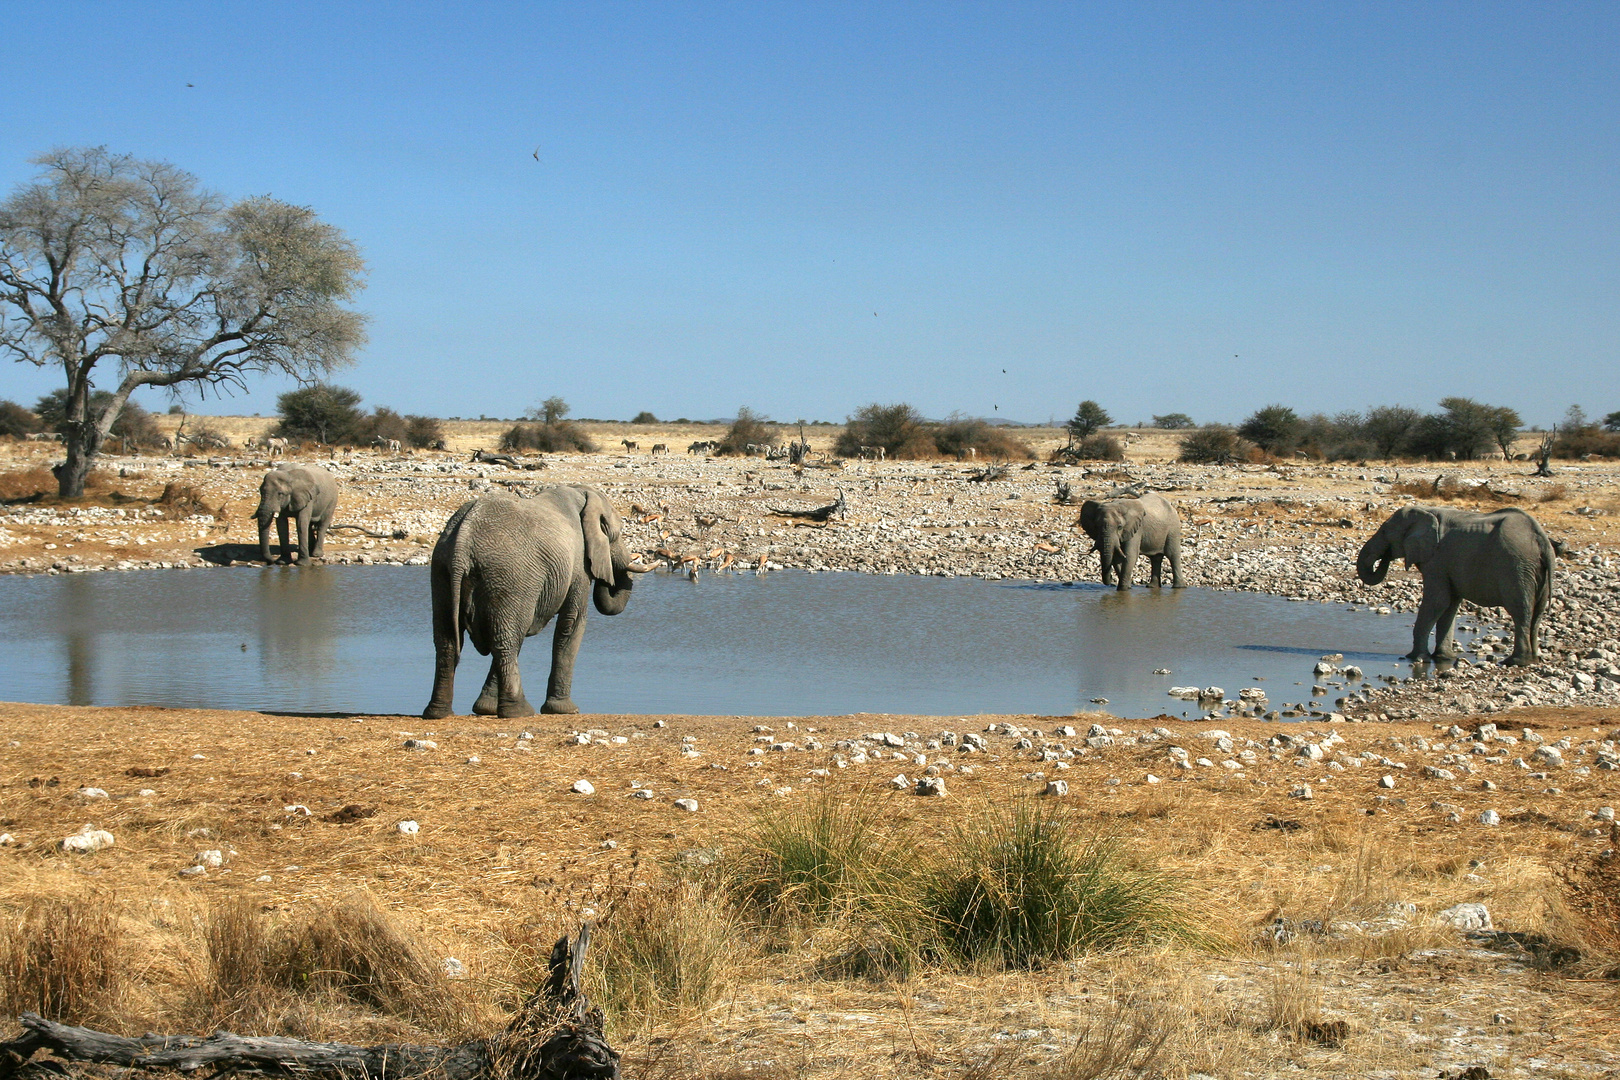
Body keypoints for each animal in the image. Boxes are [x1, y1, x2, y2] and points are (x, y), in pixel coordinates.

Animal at [430, 485, 664, 722]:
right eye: (615, 533)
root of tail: (463, 541)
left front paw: (485, 708)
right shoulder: (578, 563)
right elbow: (572, 624)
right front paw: (565, 710)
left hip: (442, 571)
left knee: (448, 641)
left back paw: (439, 713)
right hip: (509, 578)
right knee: (505, 642)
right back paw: (520, 712)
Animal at [1354, 508, 1555, 667]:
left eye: (1384, 531)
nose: (1385, 557)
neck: (1425, 511)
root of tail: (1542, 539)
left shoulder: (1437, 559)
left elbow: (1438, 601)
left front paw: (1415, 657)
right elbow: (1450, 604)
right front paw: (1444, 658)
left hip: (1517, 566)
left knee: (1520, 610)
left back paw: (1514, 662)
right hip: (1535, 570)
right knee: (1537, 612)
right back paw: (1533, 660)